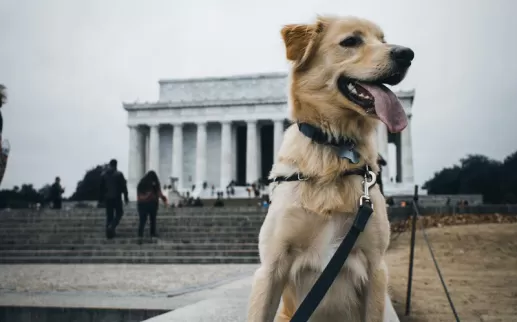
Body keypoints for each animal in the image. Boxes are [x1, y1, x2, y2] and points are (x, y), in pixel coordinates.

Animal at [248, 15, 414, 322]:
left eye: (383, 40)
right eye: (351, 41)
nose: (406, 54)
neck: (334, 150)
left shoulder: (375, 268)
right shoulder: (271, 268)